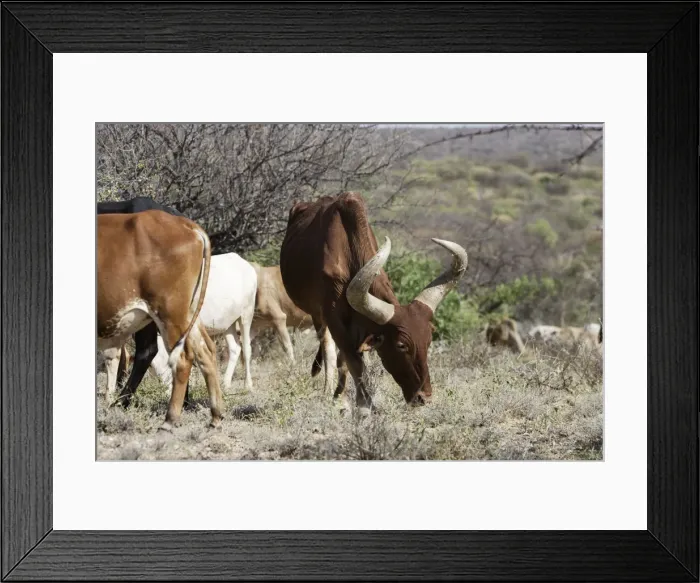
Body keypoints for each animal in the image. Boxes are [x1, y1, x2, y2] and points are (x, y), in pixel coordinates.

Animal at [97, 210, 223, 430]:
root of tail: (186, 225)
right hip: (188, 314)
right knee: (206, 351)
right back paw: (215, 416)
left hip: (169, 314)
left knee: (182, 358)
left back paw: (170, 419)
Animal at [279, 192, 468, 413]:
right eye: (401, 345)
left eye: (428, 340)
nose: (424, 398)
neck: (348, 251)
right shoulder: (334, 320)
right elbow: (352, 363)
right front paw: (360, 405)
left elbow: (354, 362)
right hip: (318, 317)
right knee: (329, 350)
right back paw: (330, 392)